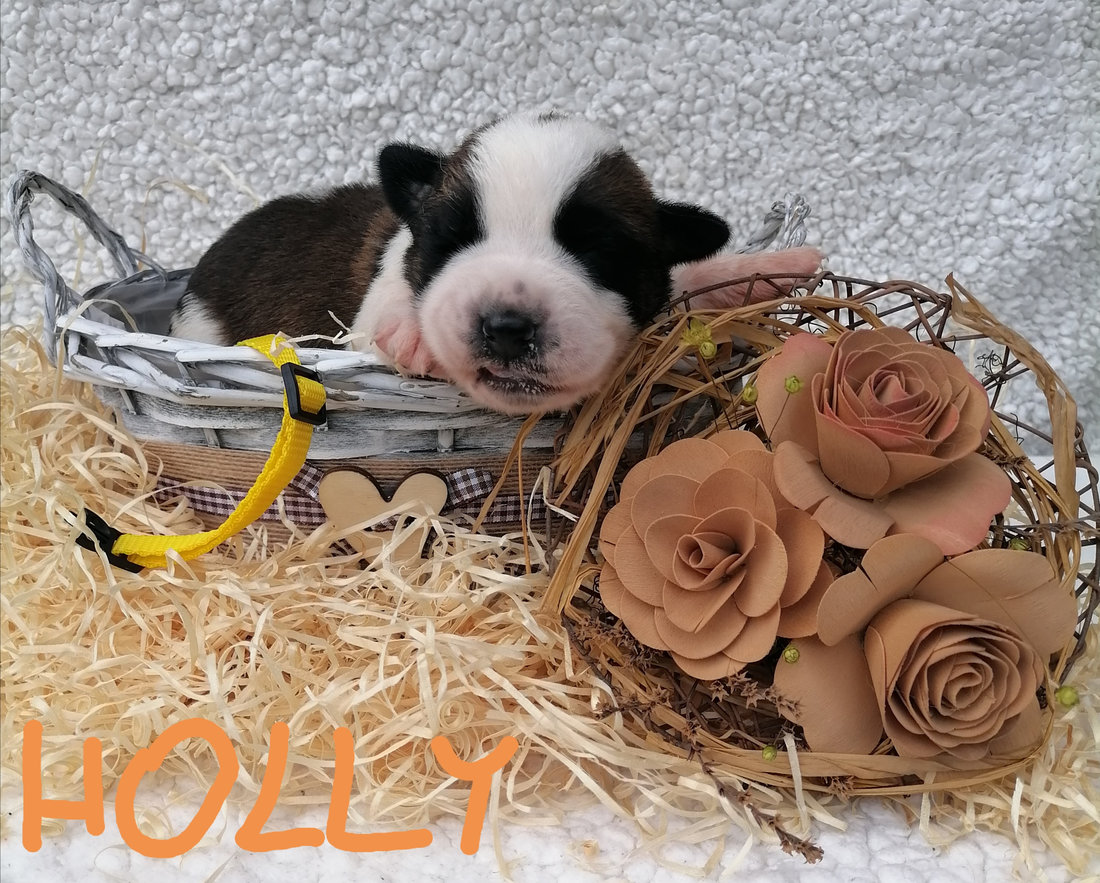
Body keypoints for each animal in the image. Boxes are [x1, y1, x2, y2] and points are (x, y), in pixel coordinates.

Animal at [170, 112, 820, 414]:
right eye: (452, 239)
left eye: (598, 251)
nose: (507, 328)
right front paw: (413, 333)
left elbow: (691, 277)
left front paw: (777, 267)